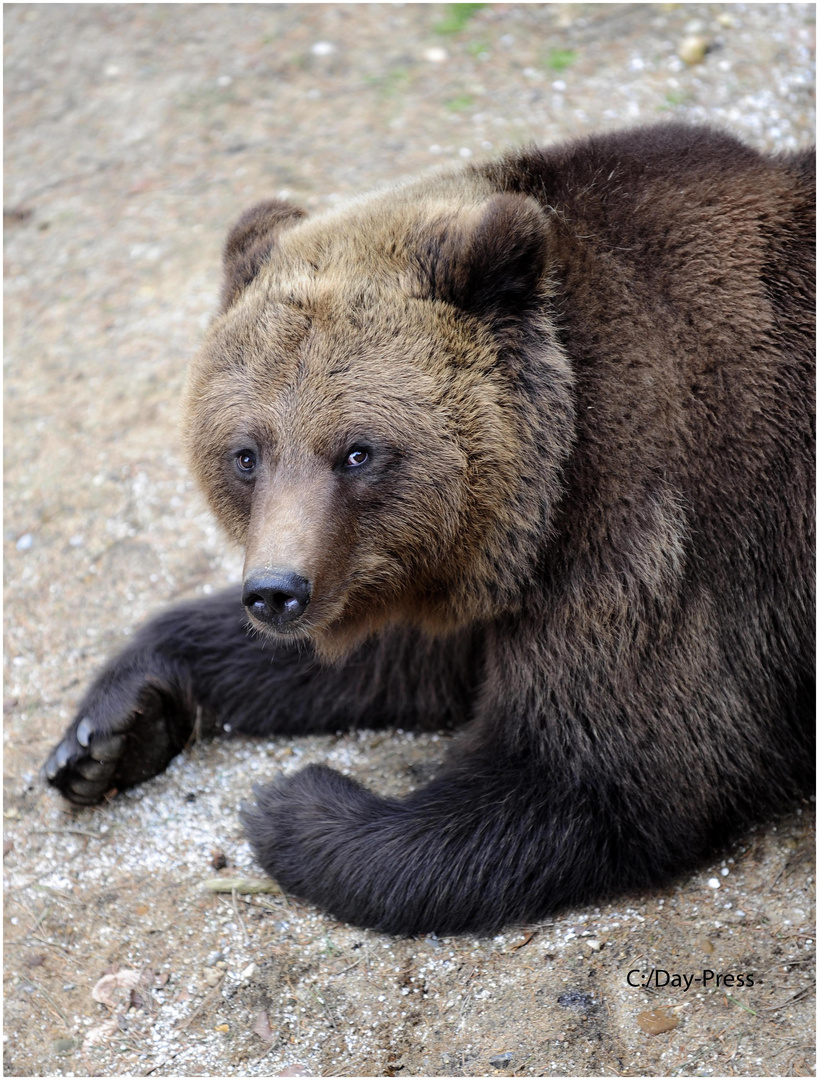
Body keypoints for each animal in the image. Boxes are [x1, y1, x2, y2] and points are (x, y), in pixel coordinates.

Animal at [44, 124, 816, 937]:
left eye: (357, 450)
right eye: (246, 453)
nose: (277, 592)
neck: (554, 476)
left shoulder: (663, 533)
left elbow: (605, 779)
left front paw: (294, 805)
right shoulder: (439, 567)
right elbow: (394, 656)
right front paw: (109, 727)